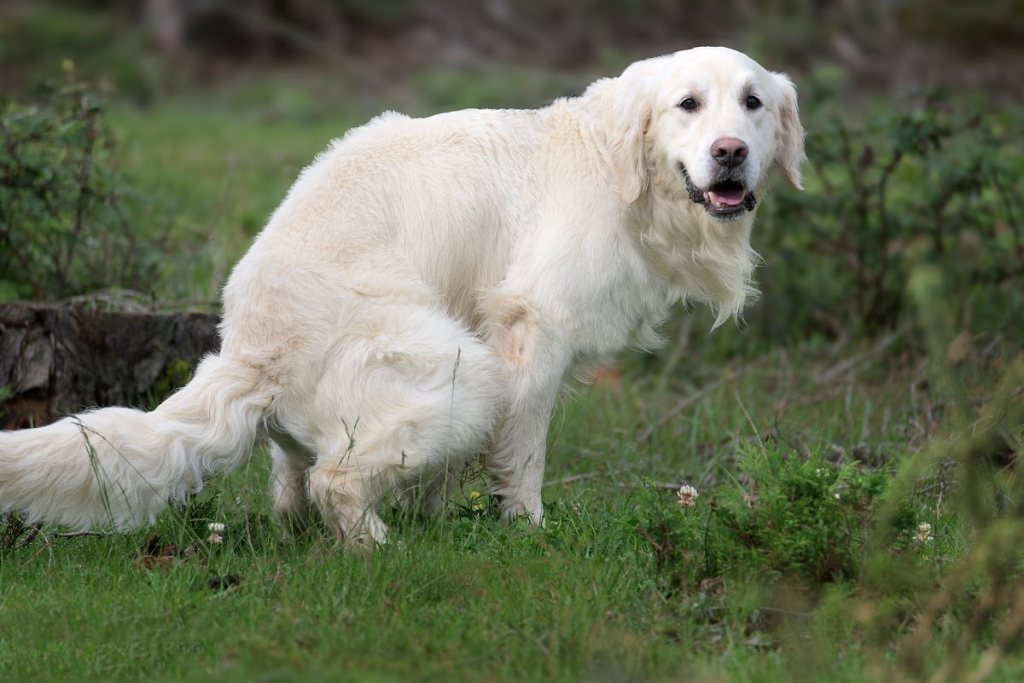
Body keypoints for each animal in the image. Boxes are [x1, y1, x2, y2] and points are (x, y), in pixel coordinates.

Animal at [0, 45, 798, 548]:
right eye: (687, 104)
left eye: (753, 103)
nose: (731, 151)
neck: (622, 168)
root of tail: (252, 351)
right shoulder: (528, 333)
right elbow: (524, 459)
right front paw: (527, 532)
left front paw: (443, 517)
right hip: (465, 373)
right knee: (336, 480)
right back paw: (379, 547)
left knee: (293, 479)